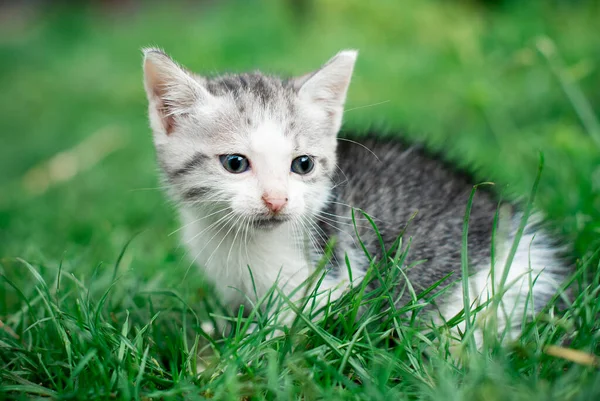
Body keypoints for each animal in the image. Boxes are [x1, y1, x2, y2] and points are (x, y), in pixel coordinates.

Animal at [143, 48, 568, 338]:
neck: (242, 243)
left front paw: (251, 349)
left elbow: (293, 325)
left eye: (303, 164)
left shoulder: (330, 279)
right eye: (234, 163)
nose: (276, 200)